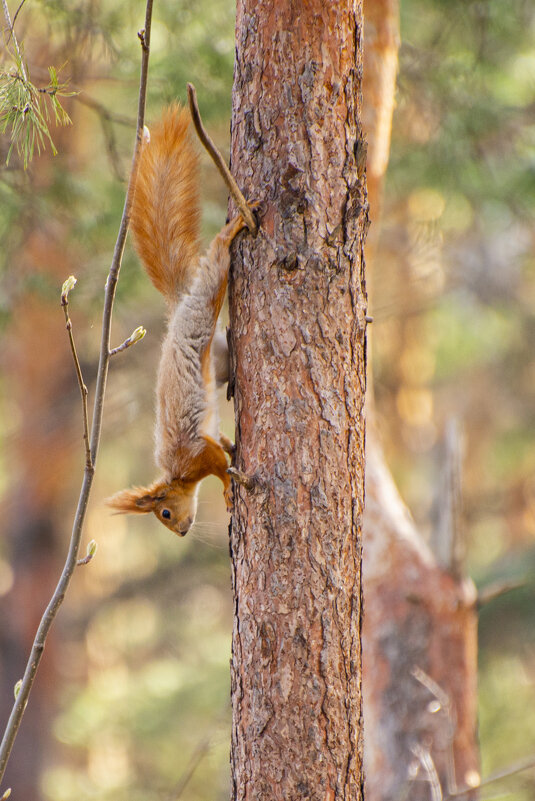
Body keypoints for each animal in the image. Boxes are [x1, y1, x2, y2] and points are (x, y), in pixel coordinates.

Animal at [109, 103, 253, 536]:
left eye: (166, 514)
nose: (183, 531)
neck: (181, 475)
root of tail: (177, 312)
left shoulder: (195, 454)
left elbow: (220, 466)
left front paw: (227, 490)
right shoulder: (205, 443)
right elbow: (223, 446)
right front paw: (233, 450)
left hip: (203, 307)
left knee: (217, 268)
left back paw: (231, 232)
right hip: (219, 359)